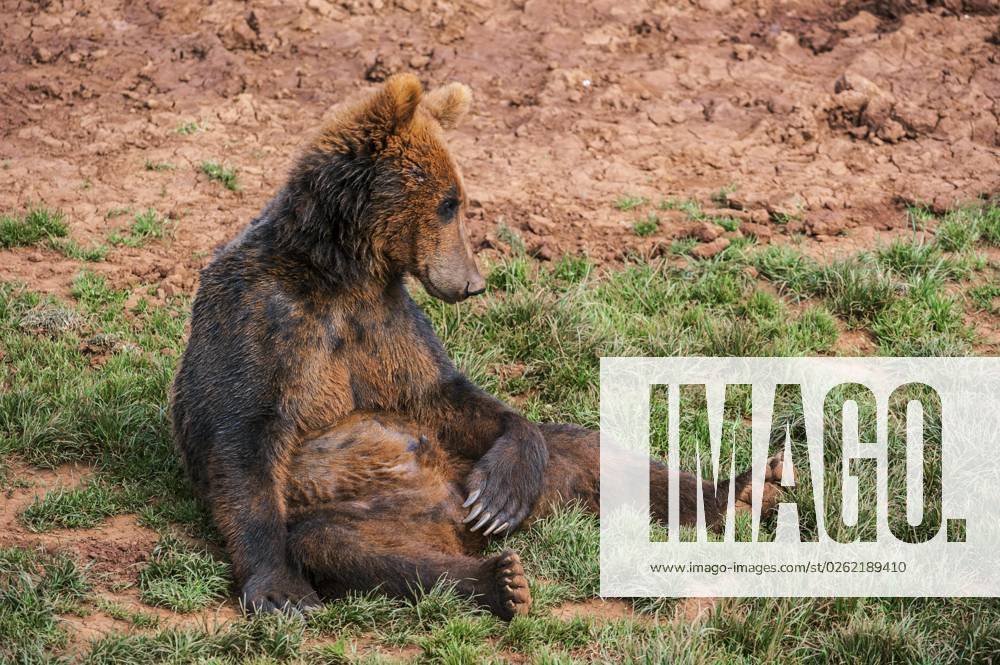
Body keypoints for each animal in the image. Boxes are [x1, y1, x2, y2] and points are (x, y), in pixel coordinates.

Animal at [170, 74, 786, 615]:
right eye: (449, 202)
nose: (474, 283)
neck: (339, 271)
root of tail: (451, 524)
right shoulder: (266, 318)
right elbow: (238, 440)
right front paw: (280, 591)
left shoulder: (386, 322)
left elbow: (443, 392)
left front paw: (500, 490)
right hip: (349, 510)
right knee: (346, 548)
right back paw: (500, 581)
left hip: (497, 469)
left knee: (590, 450)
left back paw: (744, 489)